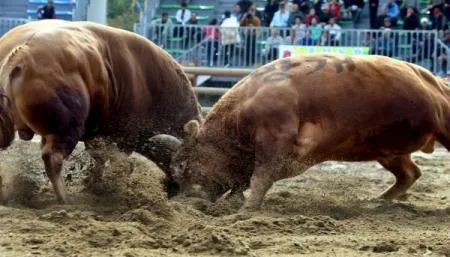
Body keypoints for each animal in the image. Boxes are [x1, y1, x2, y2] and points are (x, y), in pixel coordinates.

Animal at [0, 20, 201, 203]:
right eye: (183, 164)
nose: (188, 193)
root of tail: (21, 52)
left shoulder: (98, 136)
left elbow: (100, 160)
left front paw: (94, 186)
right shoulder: (125, 138)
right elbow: (115, 163)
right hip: (65, 129)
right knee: (53, 158)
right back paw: (65, 199)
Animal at [152, 52, 450, 212]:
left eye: (182, 165)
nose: (183, 202)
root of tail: (438, 83)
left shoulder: (275, 138)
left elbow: (261, 176)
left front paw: (246, 209)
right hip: (388, 150)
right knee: (410, 173)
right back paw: (376, 201)